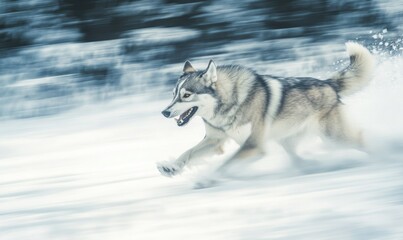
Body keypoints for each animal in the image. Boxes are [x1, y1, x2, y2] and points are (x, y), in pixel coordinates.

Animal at [158, 42, 376, 183]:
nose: (164, 112)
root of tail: (328, 84)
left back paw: (380, 156)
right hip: (287, 140)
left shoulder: (253, 146)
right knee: (299, 159)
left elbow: (226, 164)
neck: (228, 104)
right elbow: (188, 153)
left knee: (361, 139)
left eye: (186, 95)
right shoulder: (215, 140)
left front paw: (209, 178)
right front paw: (171, 168)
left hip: (334, 137)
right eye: (173, 94)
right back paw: (310, 166)